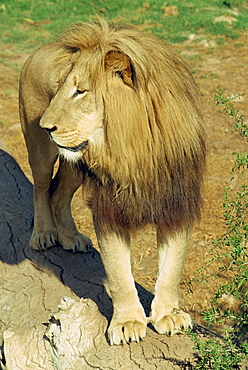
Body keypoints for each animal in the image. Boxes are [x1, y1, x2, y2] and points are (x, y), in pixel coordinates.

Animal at [19, 19, 205, 344]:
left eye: (80, 92)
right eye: (60, 89)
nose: (45, 125)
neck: (135, 151)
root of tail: (39, 49)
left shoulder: (176, 203)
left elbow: (173, 267)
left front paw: (168, 315)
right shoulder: (109, 209)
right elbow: (119, 272)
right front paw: (128, 322)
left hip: (75, 163)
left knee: (58, 193)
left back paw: (70, 237)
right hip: (40, 151)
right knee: (42, 188)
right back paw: (44, 234)